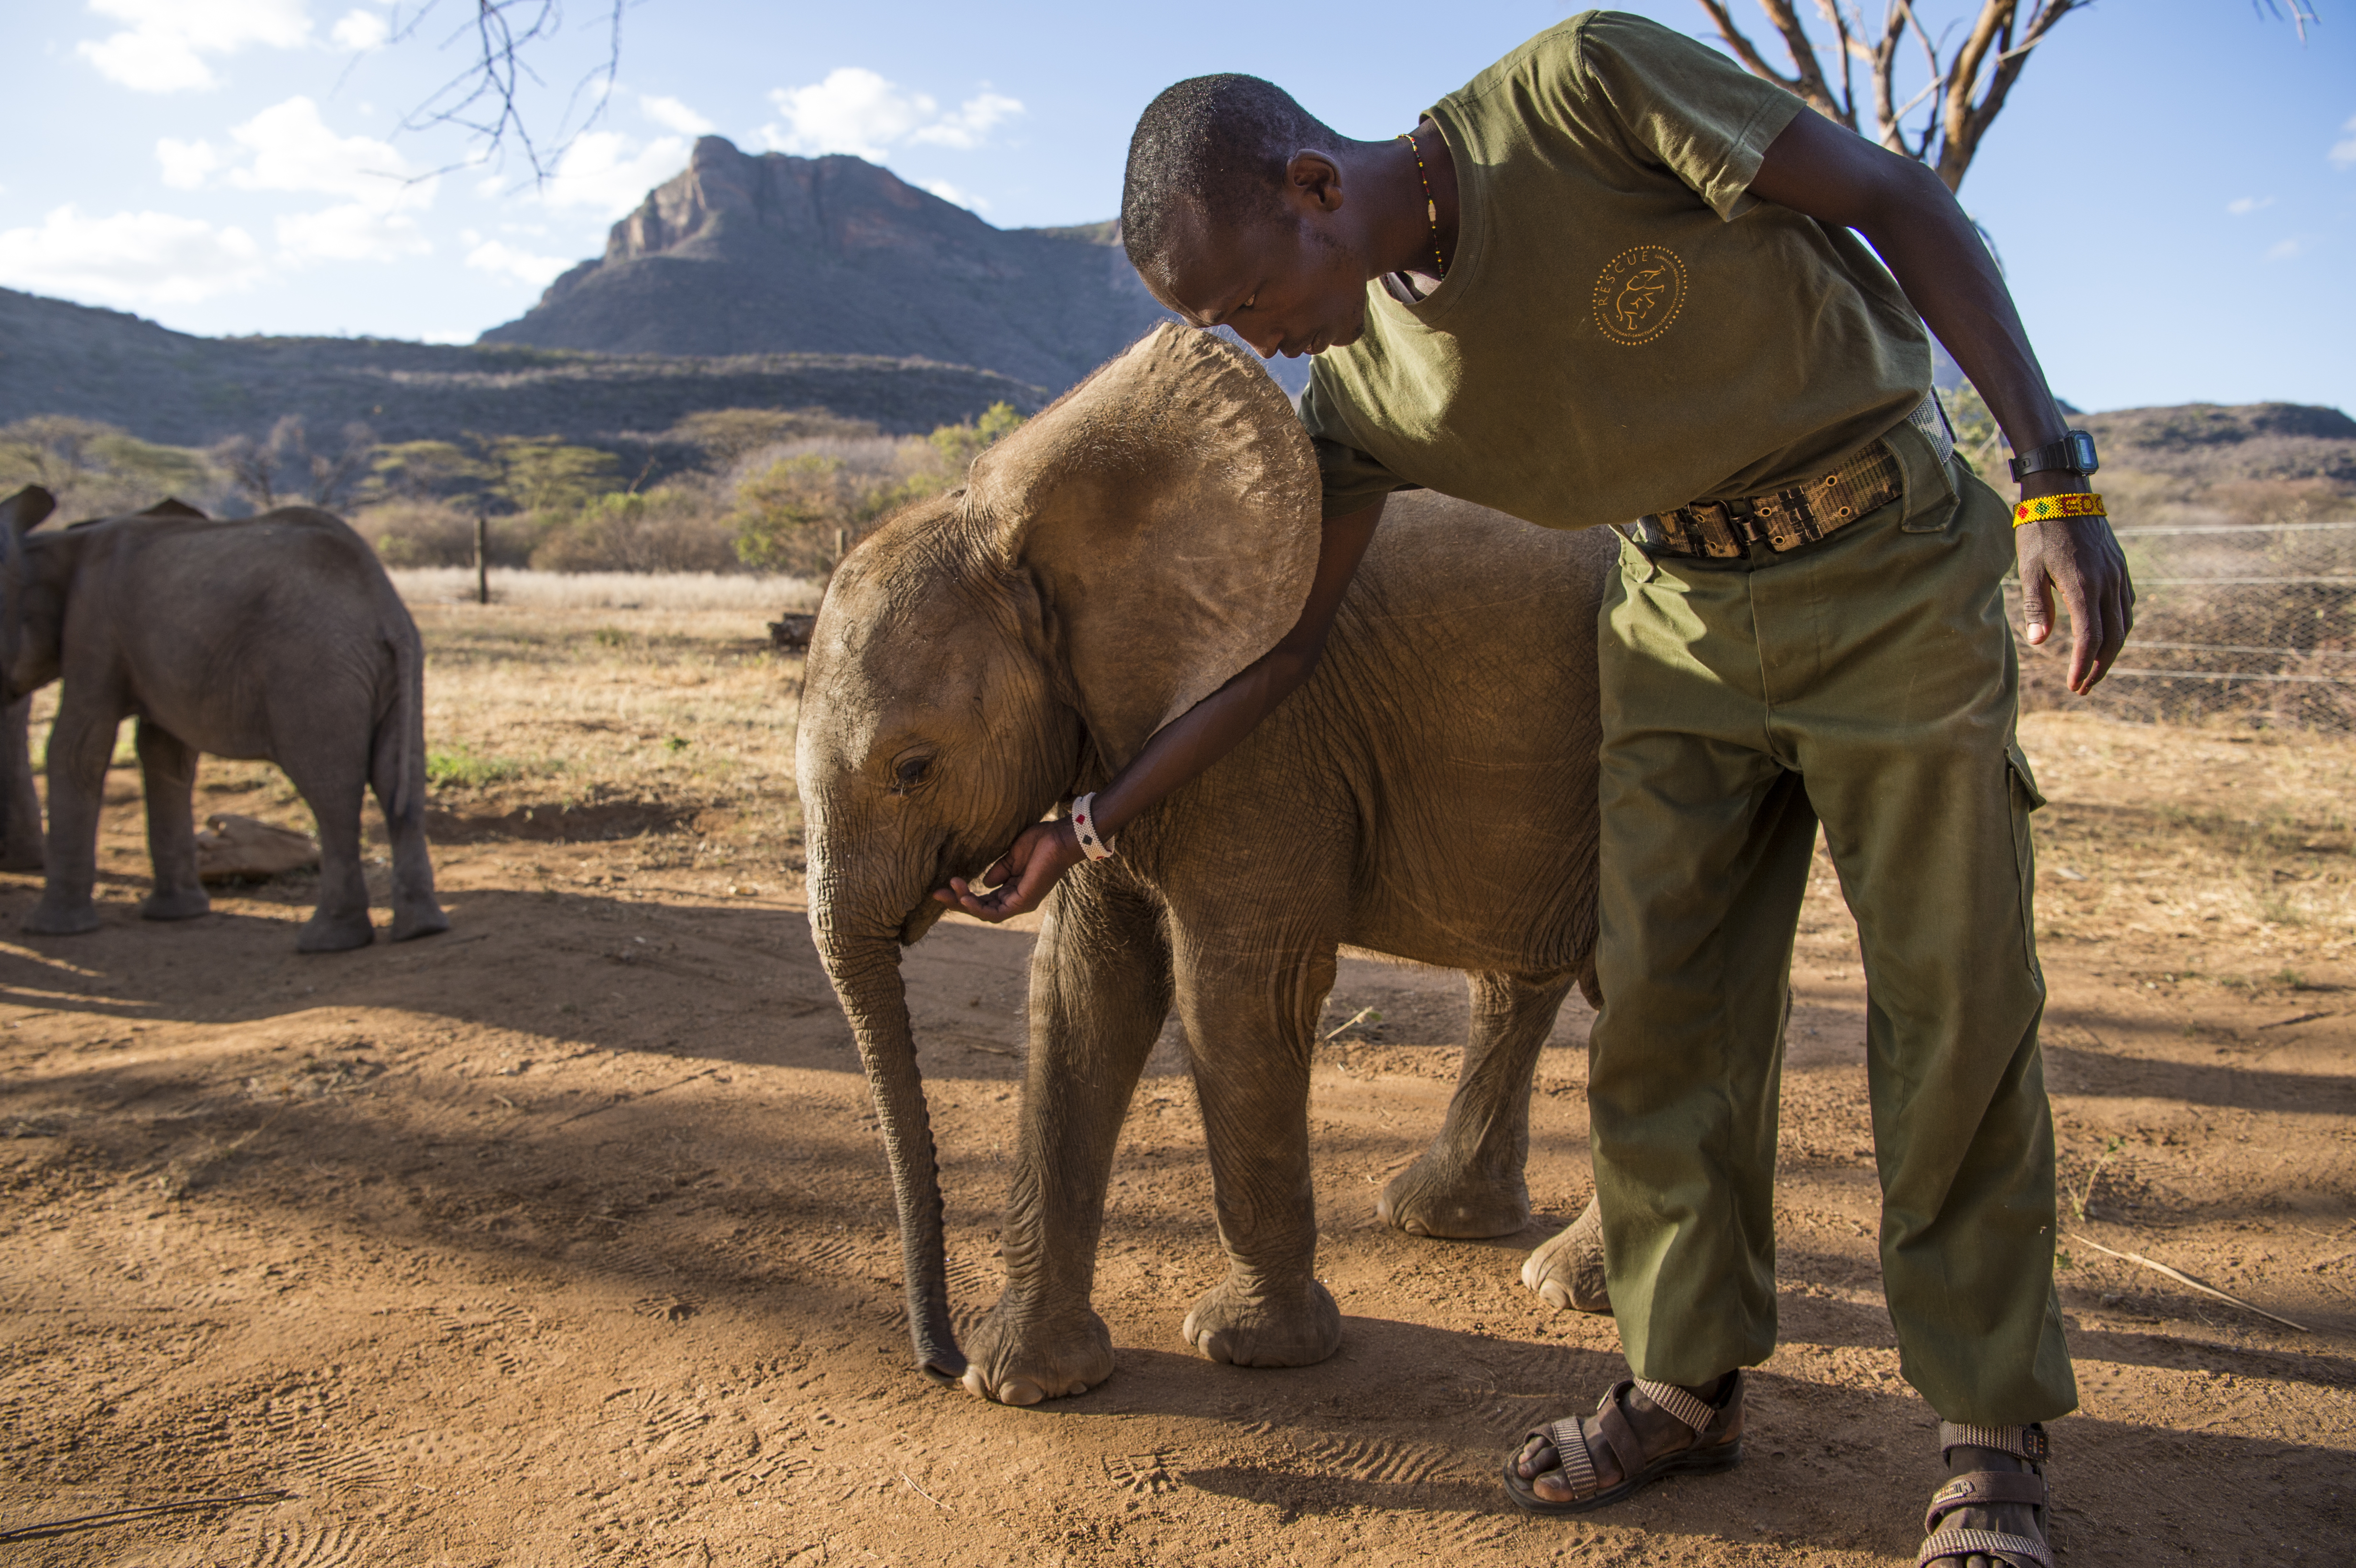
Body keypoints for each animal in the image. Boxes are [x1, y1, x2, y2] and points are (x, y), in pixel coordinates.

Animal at [0, 486, 448, 952]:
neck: (50, 543)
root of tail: (383, 606)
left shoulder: (93, 630)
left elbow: (75, 749)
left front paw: (45, 930)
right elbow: (164, 753)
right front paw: (177, 916)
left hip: (314, 672)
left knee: (333, 791)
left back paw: (326, 942)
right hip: (393, 671)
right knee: (399, 783)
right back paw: (420, 929)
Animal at [796, 325, 1620, 1406]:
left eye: (912, 769)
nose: (933, 1361)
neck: (1032, 538)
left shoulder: (1265, 737)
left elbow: (1233, 992)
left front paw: (1250, 1349)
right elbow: (1079, 991)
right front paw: (1021, 1380)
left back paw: (1568, 1286)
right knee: (1520, 976)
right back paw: (1436, 1219)